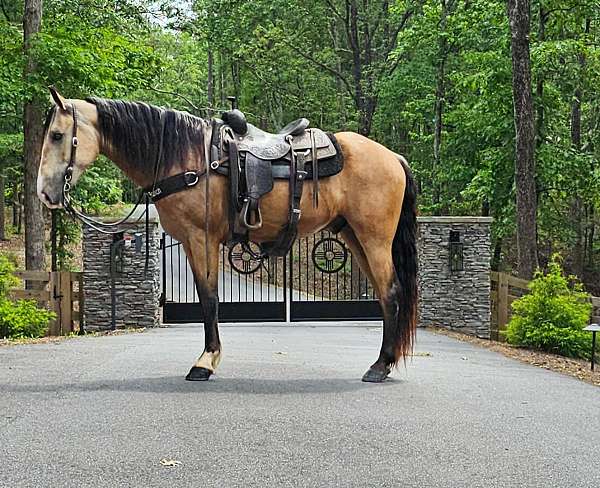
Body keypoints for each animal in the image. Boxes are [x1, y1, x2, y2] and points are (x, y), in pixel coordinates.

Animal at [37, 88, 418, 386]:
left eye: (56, 135)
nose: (44, 192)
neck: (187, 159)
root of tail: (394, 157)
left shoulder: (200, 239)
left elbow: (209, 299)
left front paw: (205, 362)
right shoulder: (192, 243)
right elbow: (207, 298)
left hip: (374, 239)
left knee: (392, 292)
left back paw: (380, 366)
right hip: (355, 237)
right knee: (385, 295)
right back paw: (385, 362)